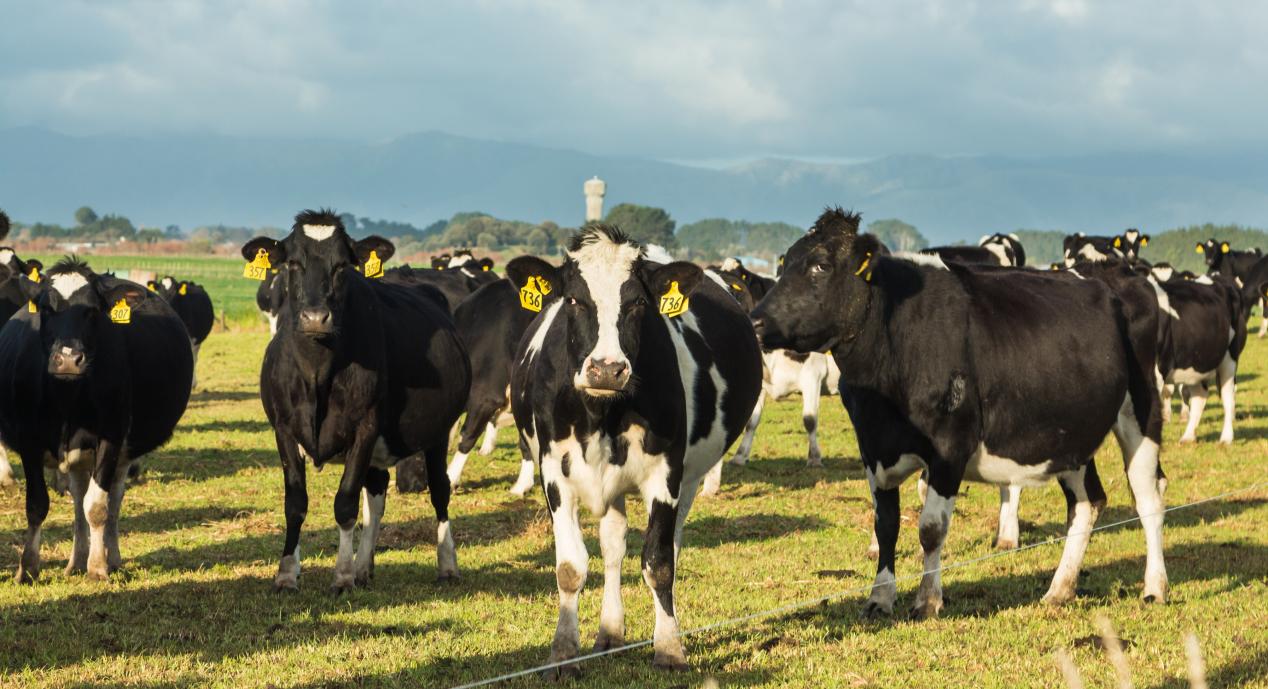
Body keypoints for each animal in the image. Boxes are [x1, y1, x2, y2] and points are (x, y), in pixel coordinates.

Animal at [0, 258, 192, 583]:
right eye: (46, 309)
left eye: (92, 311)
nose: (68, 359)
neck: (67, 397)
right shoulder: (29, 440)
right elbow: (37, 504)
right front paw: (28, 567)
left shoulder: (111, 437)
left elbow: (98, 507)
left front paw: (98, 566)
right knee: (78, 497)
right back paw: (76, 561)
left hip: (124, 450)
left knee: (112, 499)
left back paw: (109, 558)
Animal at [242, 210, 471, 593]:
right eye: (292, 263)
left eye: (342, 267)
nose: (315, 317)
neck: (317, 375)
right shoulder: (284, 430)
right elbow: (295, 504)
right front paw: (287, 573)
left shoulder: (365, 426)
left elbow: (346, 502)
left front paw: (342, 575)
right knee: (377, 495)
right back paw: (365, 566)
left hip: (437, 432)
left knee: (439, 489)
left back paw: (447, 563)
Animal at [507, 224, 760, 675]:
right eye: (573, 299)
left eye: (639, 303)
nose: (607, 369)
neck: (601, 414)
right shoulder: (555, 473)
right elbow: (570, 567)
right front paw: (564, 652)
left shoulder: (666, 475)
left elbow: (659, 563)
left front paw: (670, 648)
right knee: (612, 546)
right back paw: (609, 632)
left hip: (689, 479)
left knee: (667, 545)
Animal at [750, 209, 1166, 619]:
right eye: (784, 264)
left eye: (820, 265)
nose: (754, 320)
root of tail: (1118, 271)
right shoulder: (872, 446)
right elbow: (886, 526)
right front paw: (879, 598)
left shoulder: (951, 444)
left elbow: (931, 528)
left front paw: (928, 601)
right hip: (1071, 433)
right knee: (1087, 502)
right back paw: (1059, 590)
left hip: (1142, 410)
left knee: (1148, 497)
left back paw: (1154, 588)